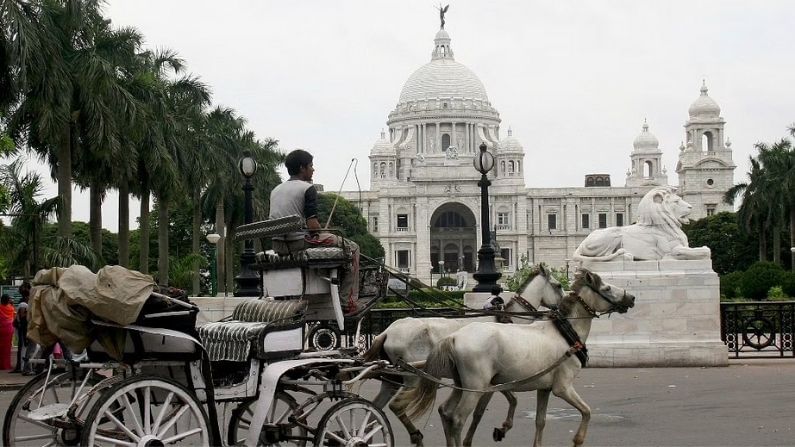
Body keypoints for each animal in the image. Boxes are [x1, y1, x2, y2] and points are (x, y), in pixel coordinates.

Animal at [364, 264, 564, 446]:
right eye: (559, 285)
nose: (561, 309)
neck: (509, 320)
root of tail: (387, 331)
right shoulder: (488, 383)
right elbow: (481, 412)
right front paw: (491, 432)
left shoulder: (494, 380)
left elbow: (511, 399)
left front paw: (502, 428)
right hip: (412, 377)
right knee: (395, 406)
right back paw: (415, 436)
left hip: (392, 379)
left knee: (374, 411)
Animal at [402, 270, 636, 447]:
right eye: (606, 288)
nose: (631, 298)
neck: (565, 332)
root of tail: (454, 336)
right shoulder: (563, 387)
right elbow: (587, 411)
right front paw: (578, 440)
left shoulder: (544, 388)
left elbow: (540, 421)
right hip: (475, 387)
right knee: (458, 418)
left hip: (462, 385)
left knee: (446, 411)